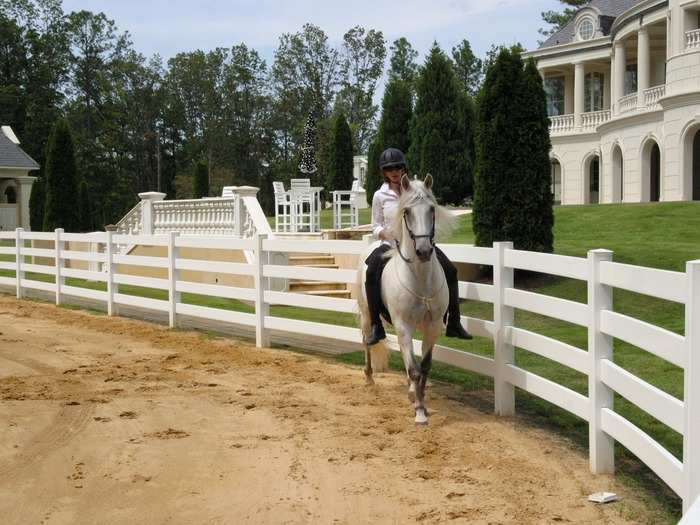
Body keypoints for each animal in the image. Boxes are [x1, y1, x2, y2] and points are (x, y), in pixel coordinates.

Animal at [358, 174, 456, 424]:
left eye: (431, 209)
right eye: (407, 212)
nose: (423, 251)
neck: (420, 279)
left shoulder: (432, 326)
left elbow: (424, 366)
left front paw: (419, 398)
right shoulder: (404, 326)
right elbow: (413, 368)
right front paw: (420, 411)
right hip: (366, 315)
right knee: (366, 340)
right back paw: (369, 377)